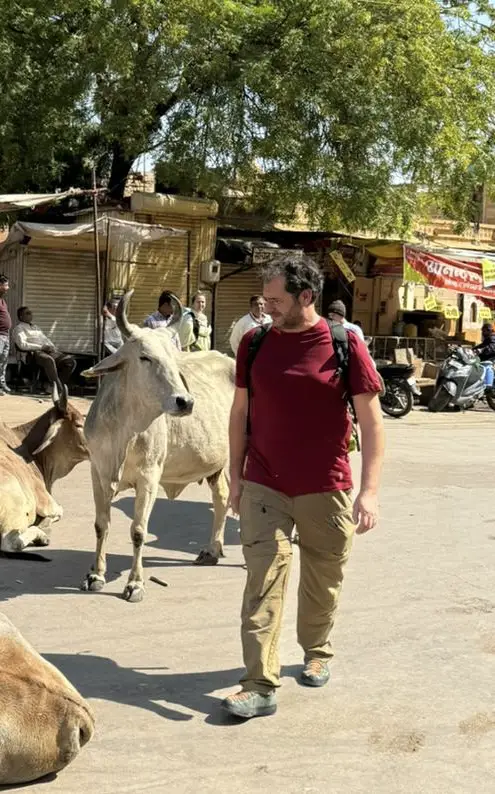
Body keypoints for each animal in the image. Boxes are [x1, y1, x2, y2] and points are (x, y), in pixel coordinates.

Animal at [82, 290, 236, 600]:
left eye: (174, 360)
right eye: (145, 357)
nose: (185, 402)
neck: (123, 430)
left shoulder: (149, 477)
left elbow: (139, 530)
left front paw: (135, 583)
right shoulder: (97, 472)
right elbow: (101, 524)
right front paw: (96, 574)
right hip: (217, 465)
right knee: (222, 497)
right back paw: (212, 550)